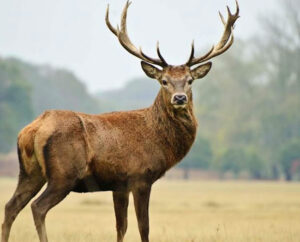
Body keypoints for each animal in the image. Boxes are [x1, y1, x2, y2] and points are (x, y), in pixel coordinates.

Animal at [0, 0, 239, 241]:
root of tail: (32, 129)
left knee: (11, 206)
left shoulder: (119, 184)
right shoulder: (140, 176)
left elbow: (121, 226)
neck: (159, 139)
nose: (179, 98)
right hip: (63, 173)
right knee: (37, 207)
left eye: (190, 80)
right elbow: (144, 227)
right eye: (164, 81)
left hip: (30, 171)